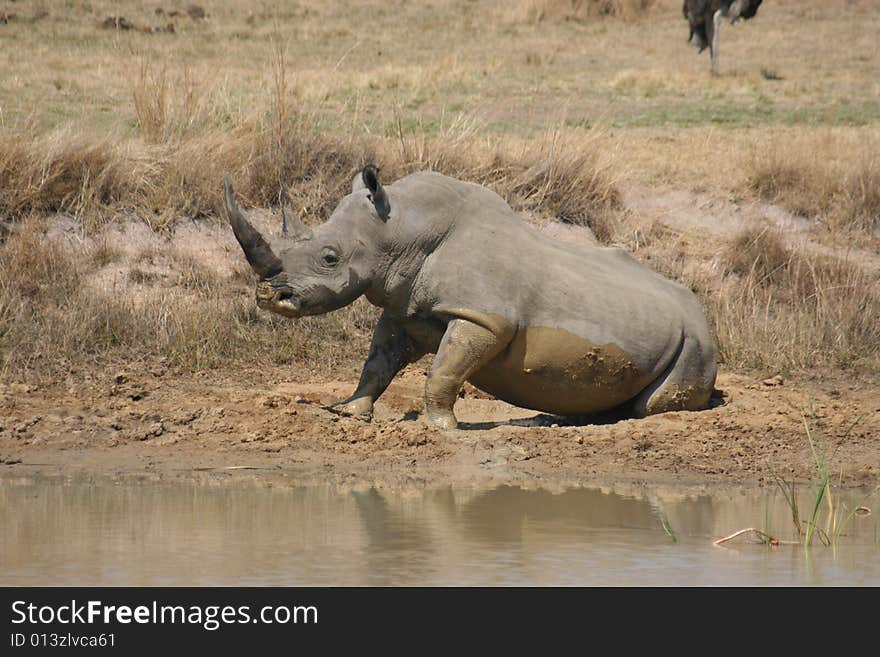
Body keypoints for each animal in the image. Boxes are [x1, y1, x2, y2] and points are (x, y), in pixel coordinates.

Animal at [223, 167, 720, 428]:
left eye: (329, 258)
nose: (269, 296)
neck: (401, 231)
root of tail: (701, 312)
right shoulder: (403, 308)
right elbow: (377, 364)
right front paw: (349, 413)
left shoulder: (485, 317)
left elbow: (444, 369)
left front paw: (442, 428)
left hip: (697, 342)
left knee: (654, 402)